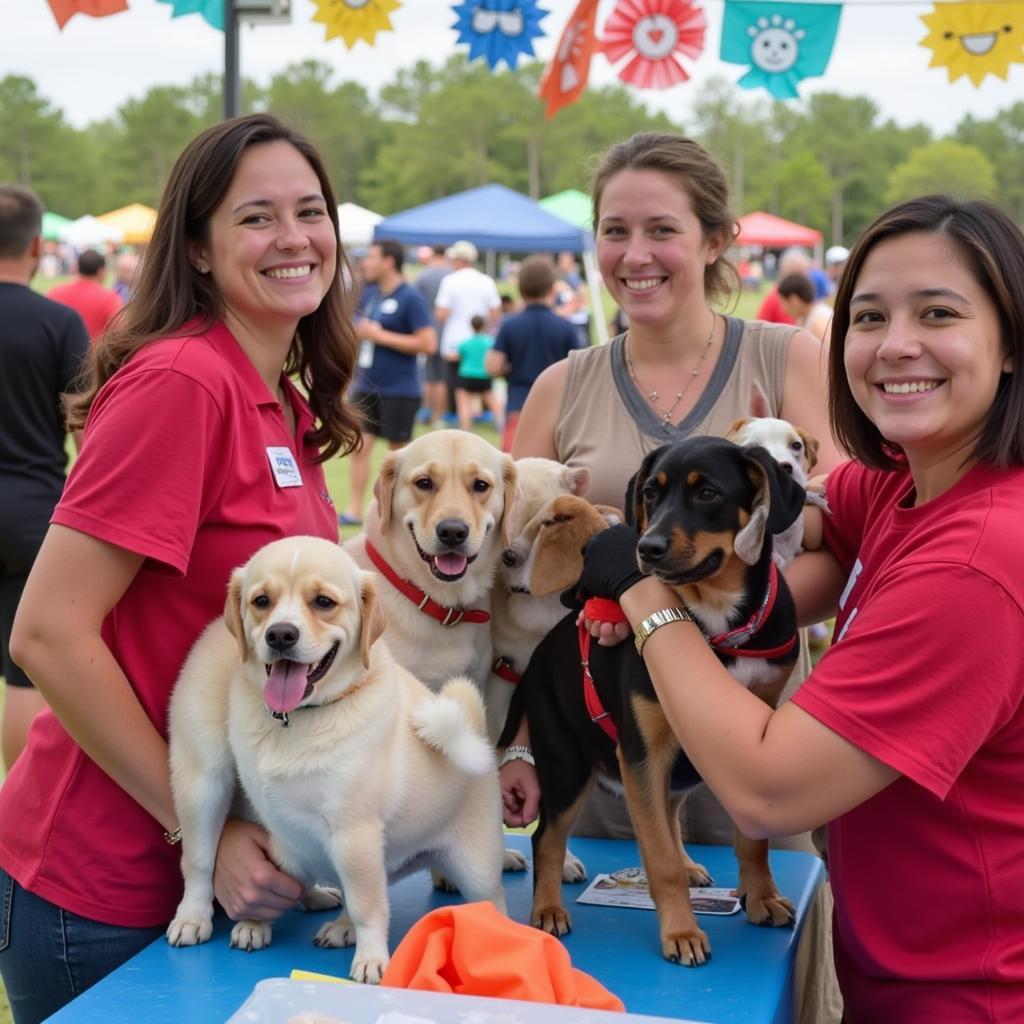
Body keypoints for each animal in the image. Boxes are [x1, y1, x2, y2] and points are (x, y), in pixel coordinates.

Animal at [165, 536, 505, 983]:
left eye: (323, 602)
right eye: (261, 601)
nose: (280, 634)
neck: (297, 720)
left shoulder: (353, 833)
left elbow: (368, 907)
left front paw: (372, 957)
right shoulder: (288, 837)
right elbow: (273, 879)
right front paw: (256, 922)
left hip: (476, 870)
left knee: (488, 903)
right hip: (204, 786)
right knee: (199, 860)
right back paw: (199, 916)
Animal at [501, 434, 806, 966]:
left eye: (707, 493)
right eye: (649, 494)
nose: (646, 548)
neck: (715, 622)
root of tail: (537, 658)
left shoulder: (753, 740)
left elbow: (751, 838)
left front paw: (762, 897)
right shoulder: (642, 748)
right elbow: (658, 858)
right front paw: (681, 932)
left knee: (667, 813)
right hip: (566, 763)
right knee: (547, 836)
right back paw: (548, 910)